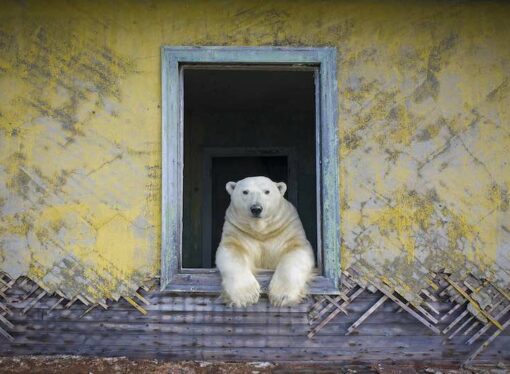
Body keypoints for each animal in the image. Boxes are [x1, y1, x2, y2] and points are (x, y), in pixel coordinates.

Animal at [213, 175, 312, 306]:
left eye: (267, 191)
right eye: (245, 192)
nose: (256, 208)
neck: (261, 231)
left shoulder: (287, 228)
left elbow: (296, 251)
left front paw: (282, 296)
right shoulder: (237, 230)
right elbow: (232, 252)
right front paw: (246, 296)